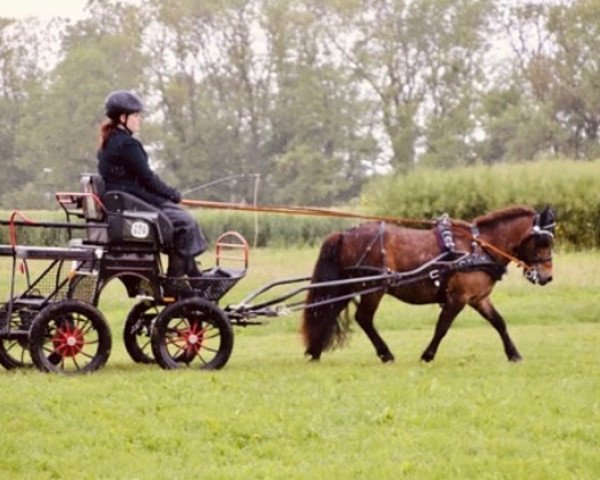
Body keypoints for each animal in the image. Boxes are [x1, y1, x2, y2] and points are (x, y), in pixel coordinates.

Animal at [302, 203, 556, 364]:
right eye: (543, 241)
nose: (547, 277)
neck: (479, 247)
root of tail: (345, 235)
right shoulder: (458, 298)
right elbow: (442, 327)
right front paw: (427, 355)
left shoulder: (478, 298)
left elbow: (499, 323)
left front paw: (514, 354)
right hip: (372, 289)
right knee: (363, 318)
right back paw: (385, 354)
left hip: (348, 285)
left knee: (328, 310)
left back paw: (315, 351)